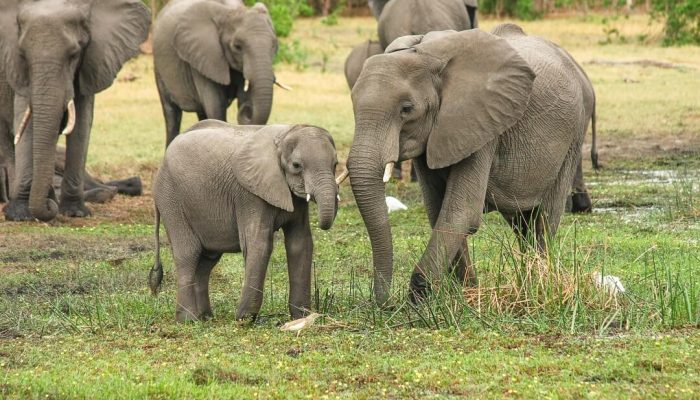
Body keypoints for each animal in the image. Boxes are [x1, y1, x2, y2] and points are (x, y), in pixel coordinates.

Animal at [0, 0, 150, 222]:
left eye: (74, 55)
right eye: (22, 55)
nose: (48, 207)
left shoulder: (90, 64)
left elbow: (82, 124)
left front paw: (75, 212)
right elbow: (24, 123)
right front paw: (20, 215)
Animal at [150, 121, 344, 322]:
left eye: (335, 164)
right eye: (296, 165)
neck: (284, 135)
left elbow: (300, 243)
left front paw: (301, 317)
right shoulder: (249, 194)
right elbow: (259, 244)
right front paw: (244, 319)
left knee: (206, 260)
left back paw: (206, 318)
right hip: (170, 199)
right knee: (188, 253)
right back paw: (188, 319)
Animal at [154, 0, 284, 147]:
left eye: (274, 45)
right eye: (237, 47)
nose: (247, 109)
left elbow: (242, 96)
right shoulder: (203, 56)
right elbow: (215, 106)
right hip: (159, 68)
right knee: (171, 115)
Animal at [348, 25, 600, 306]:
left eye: (406, 109)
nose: (386, 303)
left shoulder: (482, 126)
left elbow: (461, 212)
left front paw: (419, 300)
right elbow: (438, 210)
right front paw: (467, 293)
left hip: (573, 135)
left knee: (544, 218)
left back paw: (539, 284)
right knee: (521, 222)